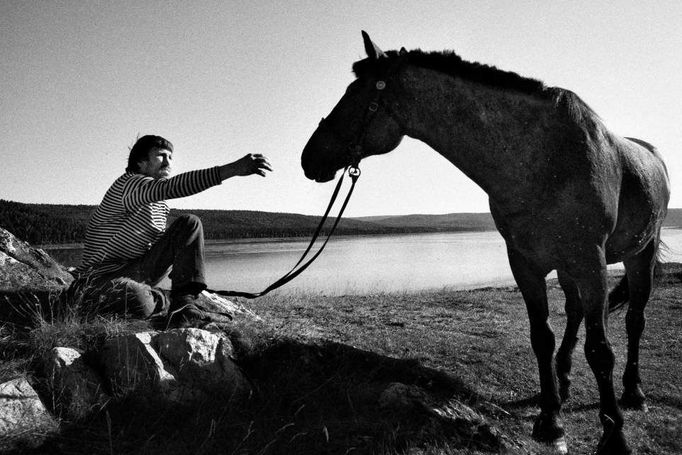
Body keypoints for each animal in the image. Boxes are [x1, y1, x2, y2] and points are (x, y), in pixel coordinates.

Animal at [300, 30, 668, 454]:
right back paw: (564, 381)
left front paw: (614, 436)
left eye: (355, 96)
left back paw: (633, 393)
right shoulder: (525, 262)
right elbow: (542, 337)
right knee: (575, 314)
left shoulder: (590, 260)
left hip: (639, 256)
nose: (308, 158)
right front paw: (550, 419)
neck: (543, 158)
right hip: (568, 267)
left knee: (635, 320)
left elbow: (601, 349)